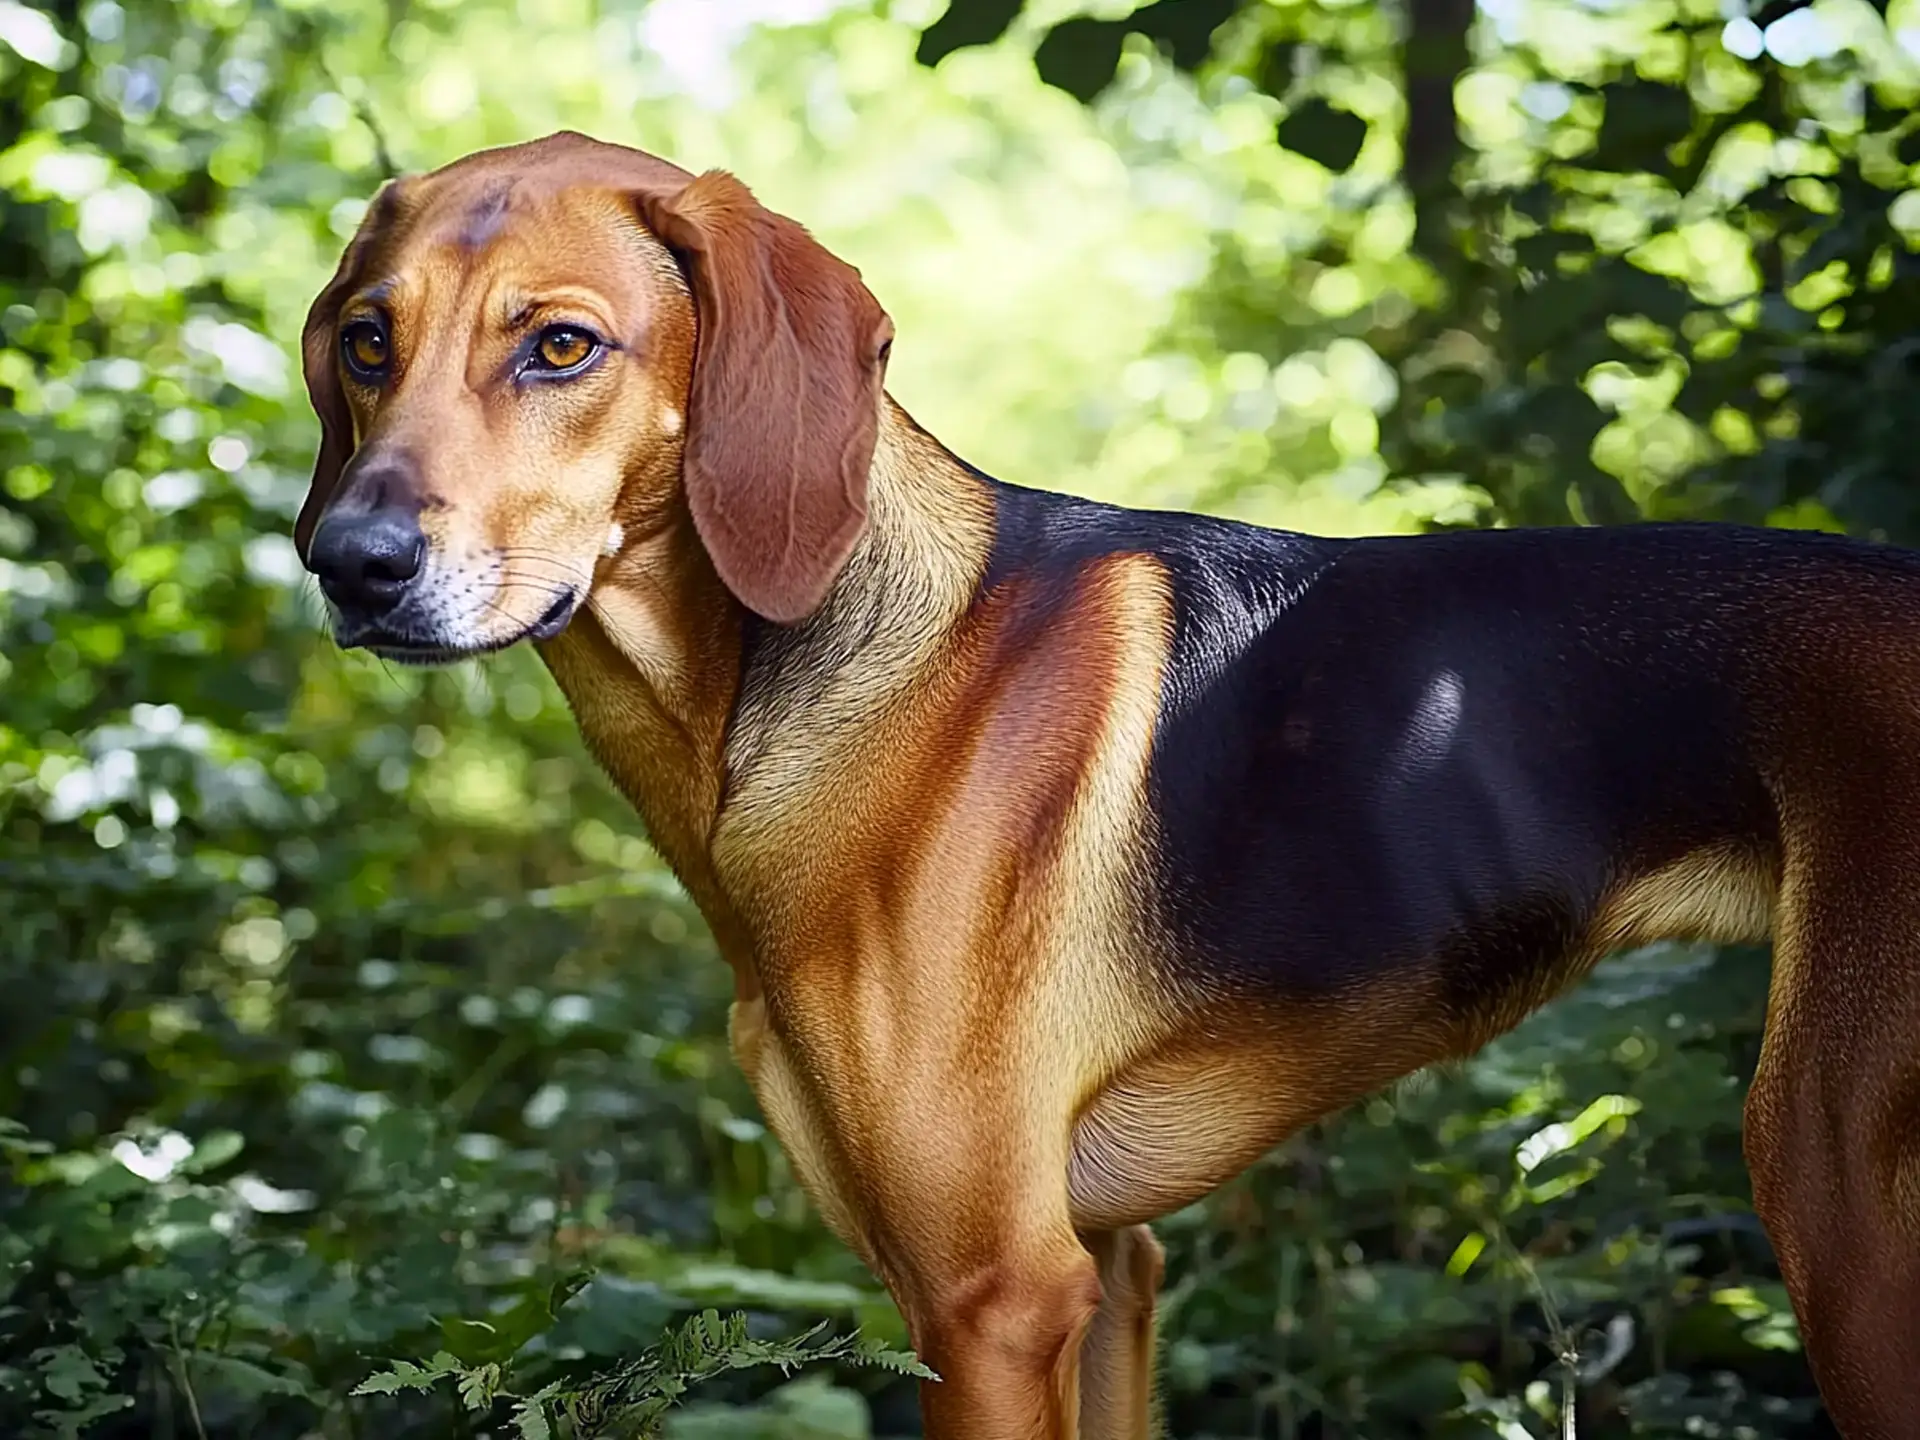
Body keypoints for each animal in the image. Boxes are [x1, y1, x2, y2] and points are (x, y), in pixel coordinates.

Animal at [295, 129, 1920, 1436]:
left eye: (562, 348)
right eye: (368, 343)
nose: (348, 564)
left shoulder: (991, 1301)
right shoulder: (1112, 1276)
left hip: (1834, 1192)